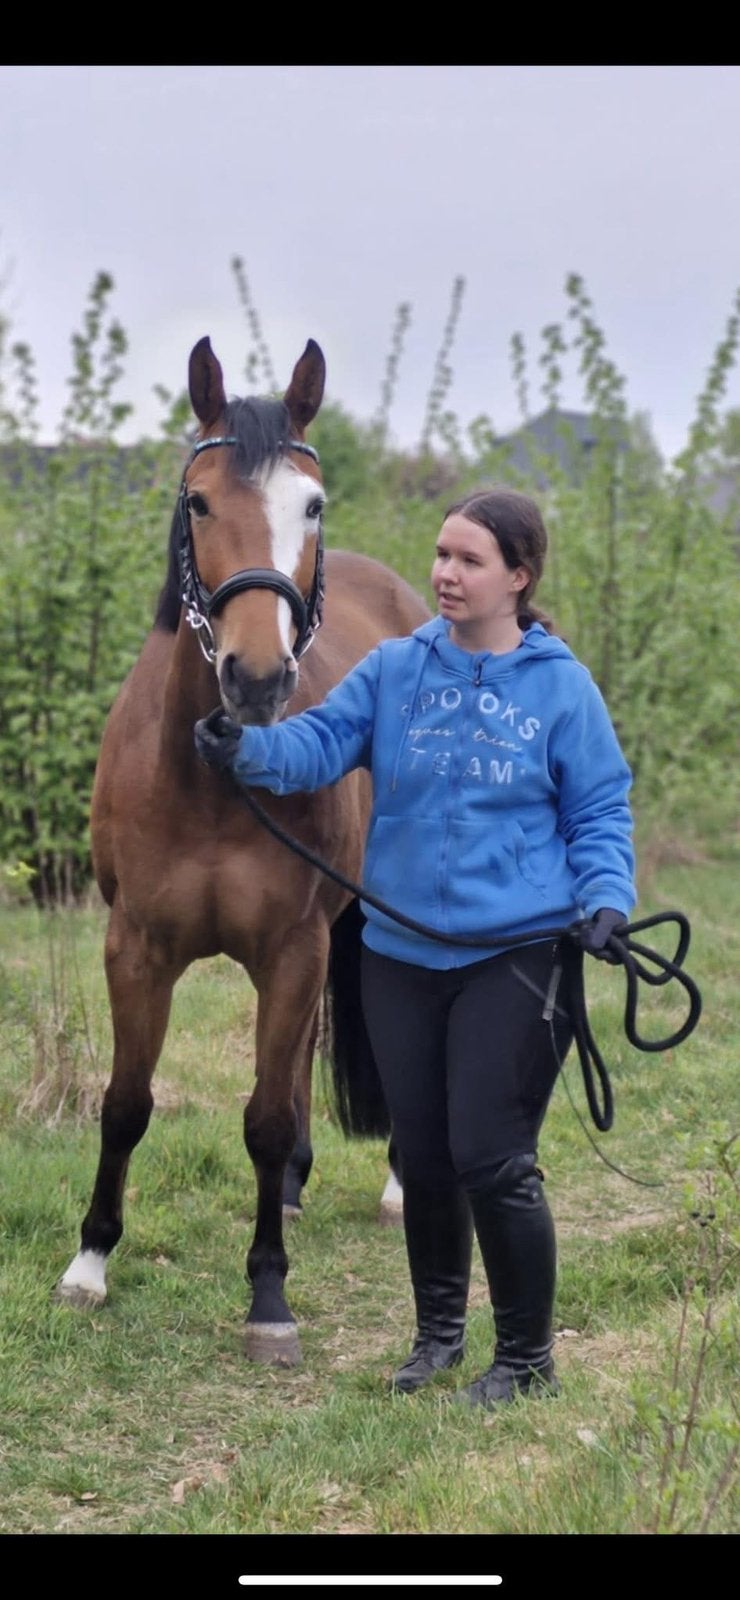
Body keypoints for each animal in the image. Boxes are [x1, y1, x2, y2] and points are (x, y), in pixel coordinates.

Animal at [56, 335, 429, 1364]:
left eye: (313, 505)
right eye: (197, 502)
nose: (255, 679)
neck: (216, 775)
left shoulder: (292, 948)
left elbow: (260, 1118)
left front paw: (268, 1296)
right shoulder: (136, 947)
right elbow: (125, 1103)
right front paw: (89, 1264)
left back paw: (394, 1183)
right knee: (295, 1062)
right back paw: (295, 1189)